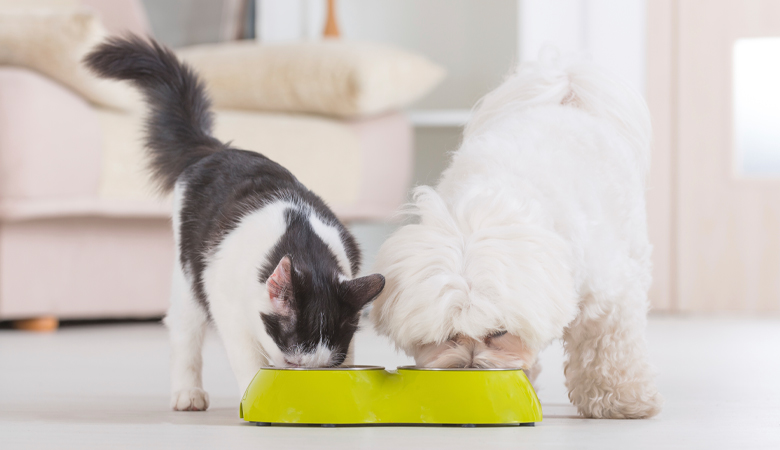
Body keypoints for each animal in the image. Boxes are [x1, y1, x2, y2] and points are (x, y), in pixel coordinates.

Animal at [86, 36, 386, 412]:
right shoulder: (228, 306)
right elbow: (247, 359)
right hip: (190, 274)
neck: (303, 243)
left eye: (323, 368)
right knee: (184, 329)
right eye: (291, 362)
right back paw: (187, 393)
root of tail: (216, 149)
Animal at [368, 55, 660, 418]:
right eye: (447, 335)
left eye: (499, 332)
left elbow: (608, 346)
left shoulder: (607, 295)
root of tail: (564, 89)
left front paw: (621, 400)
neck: (488, 207)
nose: (469, 369)